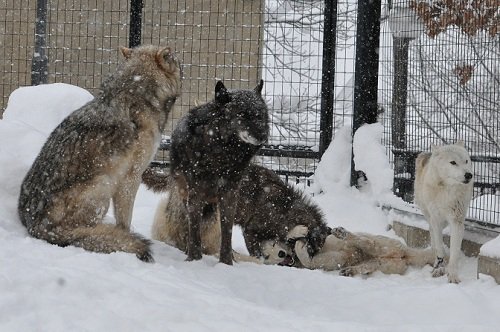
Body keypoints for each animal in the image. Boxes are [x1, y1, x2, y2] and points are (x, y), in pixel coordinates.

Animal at [17, 44, 183, 262]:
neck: (137, 91)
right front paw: (125, 236)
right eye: (177, 62)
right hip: (103, 185)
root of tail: (35, 226)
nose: (183, 67)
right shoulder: (132, 177)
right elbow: (124, 221)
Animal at [169, 81, 270, 264]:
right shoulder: (195, 192)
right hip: (184, 193)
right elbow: (195, 228)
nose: (263, 136)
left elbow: (227, 231)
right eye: (242, 114)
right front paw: (194, 259)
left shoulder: (230, 193)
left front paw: (227, 262)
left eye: (259, 114)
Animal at [414, 141, 472, 282]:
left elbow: (455, 251)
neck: (447, 191)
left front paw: (453, 275)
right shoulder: (436, 220)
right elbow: (439, 246)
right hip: (428, 215)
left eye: (466, 161)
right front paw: (439, 266)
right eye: (453, 162)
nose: (469, 175)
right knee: (432, 234)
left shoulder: (457, 221)